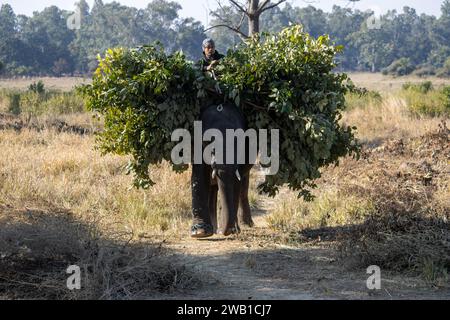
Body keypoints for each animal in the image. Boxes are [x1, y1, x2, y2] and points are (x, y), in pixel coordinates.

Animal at [191, 102, 256, 238]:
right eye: (209, 141)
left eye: (239, 141)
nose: (224, 231)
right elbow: (200, 176)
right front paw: (200, 233)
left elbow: (236, 181)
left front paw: (232, 230)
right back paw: (214, 229)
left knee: (243, 187)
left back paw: (244, 225)